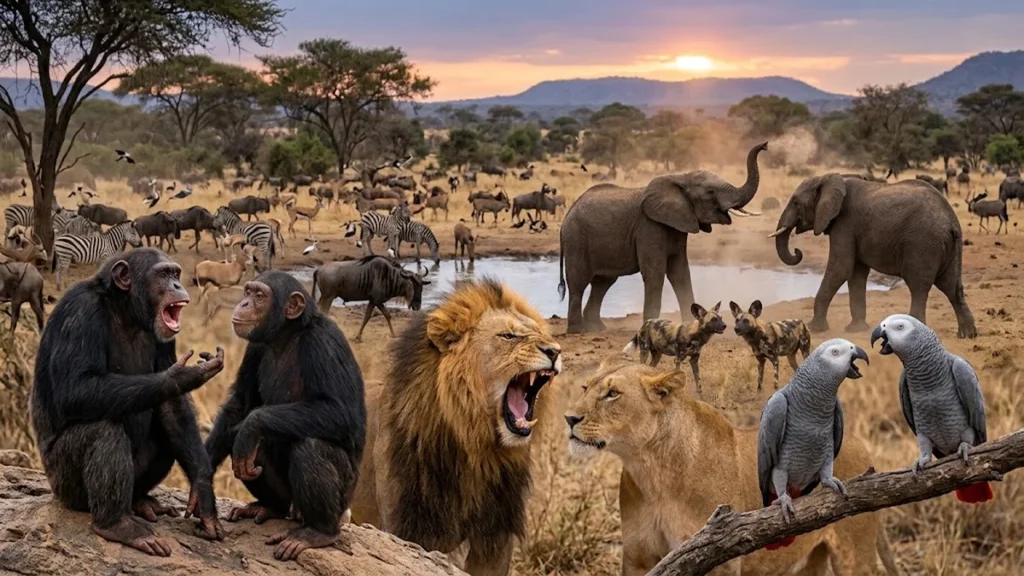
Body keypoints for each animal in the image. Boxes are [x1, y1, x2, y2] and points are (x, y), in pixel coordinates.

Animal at [350, 279, 562, 575]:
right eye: (508, 336)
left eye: (539, 332)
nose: (555, 351)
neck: (477, 449)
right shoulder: (408, 526)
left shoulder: (495, 537)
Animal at [565, 362, 899, 576]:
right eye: (584, 387)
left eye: (613, 394)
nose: (569, 418)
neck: (653, 471)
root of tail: (857, 441)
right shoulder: (637, 557)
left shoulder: (718, 555)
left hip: (854, 556)